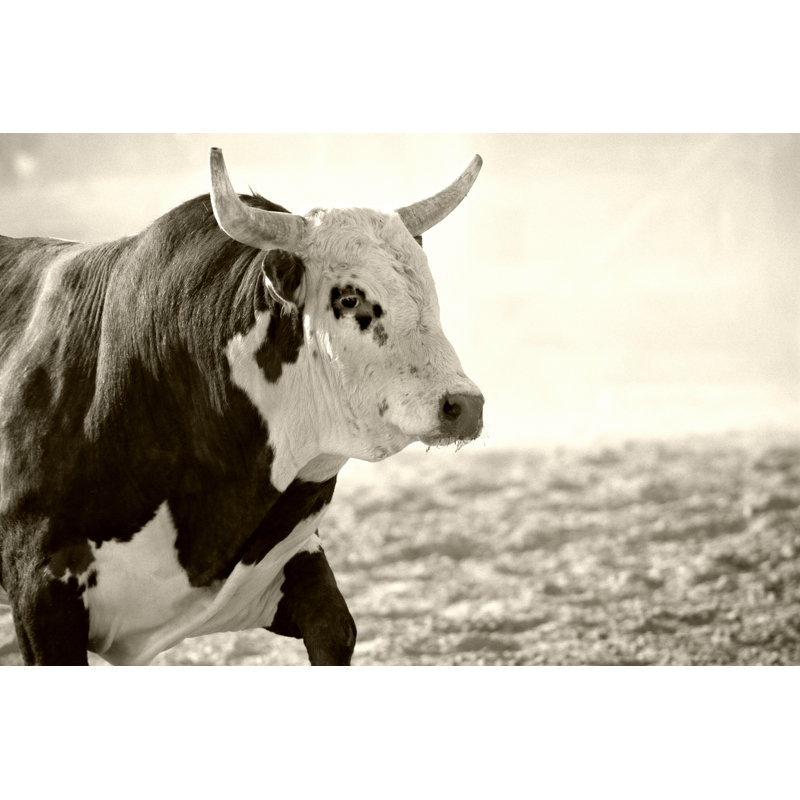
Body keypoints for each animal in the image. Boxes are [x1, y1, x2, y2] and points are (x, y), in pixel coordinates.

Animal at [0, 148, 484, 665]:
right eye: (350, 297)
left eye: (429, 294)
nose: (464, 404)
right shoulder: (40, 593)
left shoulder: (289, 565)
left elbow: (334, 627)